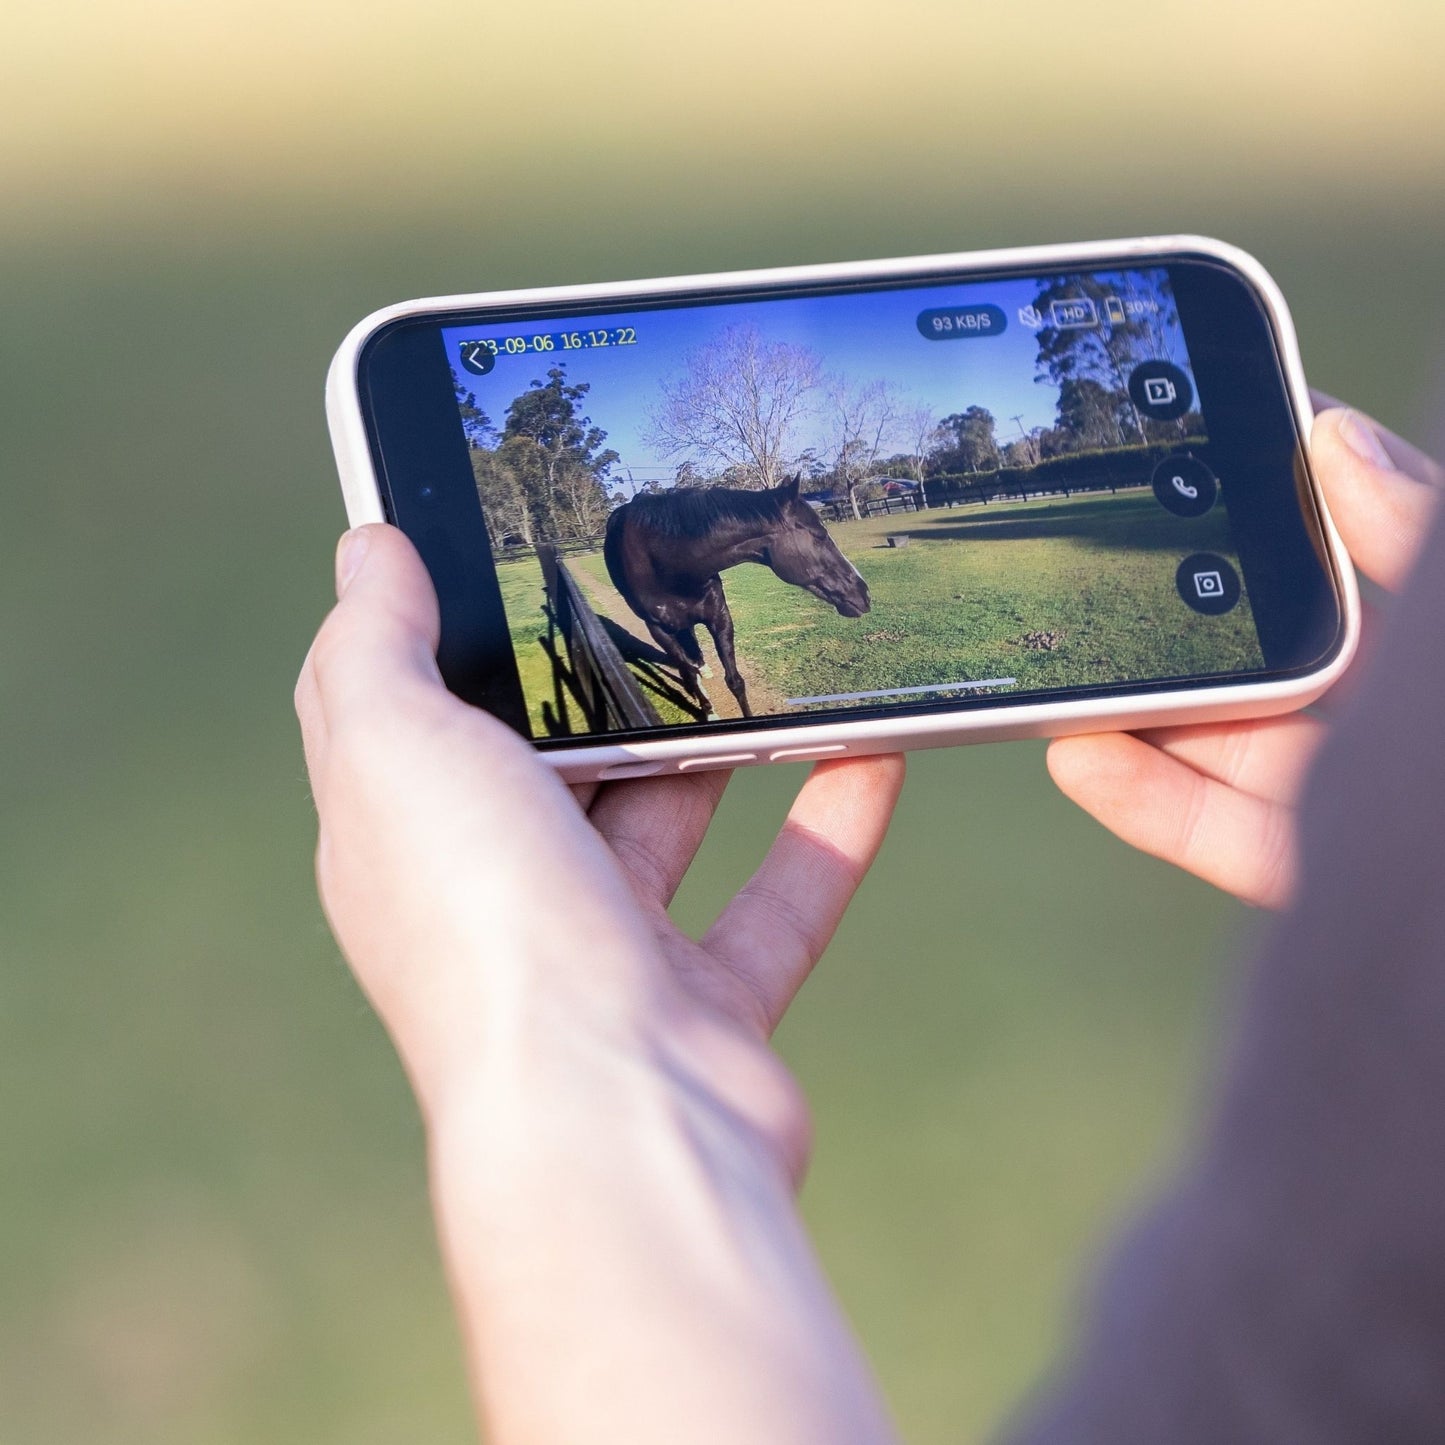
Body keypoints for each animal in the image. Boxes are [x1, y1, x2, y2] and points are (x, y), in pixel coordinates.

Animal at [601, 476, 867, 719]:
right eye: (820, 535)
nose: (863, 592)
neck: (667, 563)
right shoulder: (658, 630)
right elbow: (689, 673)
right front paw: (708, 710)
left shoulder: (720, 619)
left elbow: (734, 681)